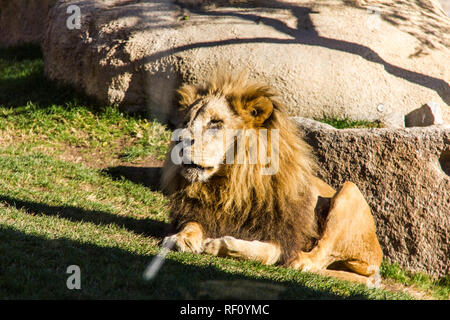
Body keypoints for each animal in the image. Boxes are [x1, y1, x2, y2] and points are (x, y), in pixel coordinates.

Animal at [162, 72, 384, 284]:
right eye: (186, 122)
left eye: (215, 123)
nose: (178, 140)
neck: (229, 184)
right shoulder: (198, 212)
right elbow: (192, 225)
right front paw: (182, 238)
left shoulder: (282, 236)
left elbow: (266, 252)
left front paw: (217, 244)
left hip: (349, 190)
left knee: (317, 256)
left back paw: (299, 260)